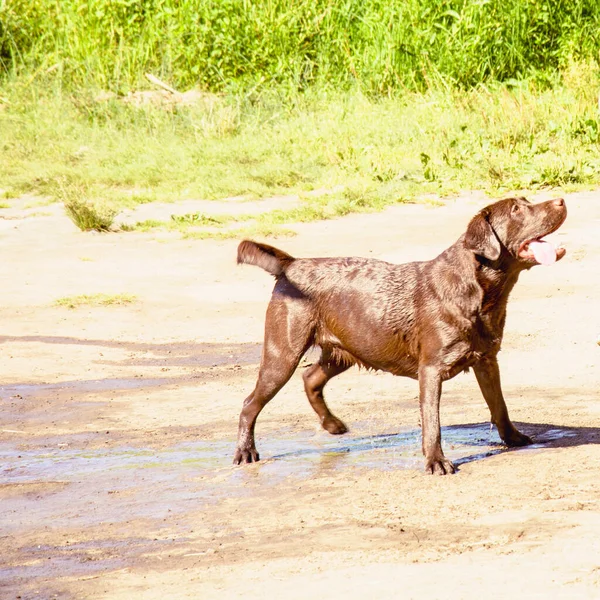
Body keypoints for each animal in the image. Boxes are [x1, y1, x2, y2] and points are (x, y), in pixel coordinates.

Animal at [233, 197, 568, 474]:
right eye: (516, 209)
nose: (562, 200)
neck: (479, 292)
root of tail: (291, 265)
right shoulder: (431, 369)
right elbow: (432, 420)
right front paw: (436, 461)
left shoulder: (487, 360)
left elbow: (499, 405)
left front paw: (513, 438)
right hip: (283, 353)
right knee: (250, 402)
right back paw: (245, 452)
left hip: (347, 349)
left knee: (311, 377)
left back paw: (332, 424)